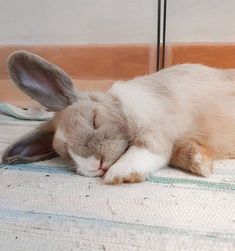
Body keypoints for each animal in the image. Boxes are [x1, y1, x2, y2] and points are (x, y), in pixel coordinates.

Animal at [1, 51, 235, 184]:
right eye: (64, 153)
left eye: (94, 120)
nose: (97, 165)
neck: (120, 107)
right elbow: (180, 152)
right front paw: (202, 164)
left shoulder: (153, 129)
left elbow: (146, 149)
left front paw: (120, 173)